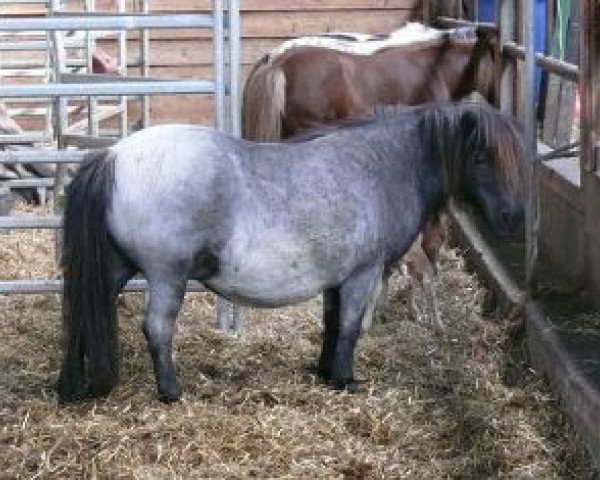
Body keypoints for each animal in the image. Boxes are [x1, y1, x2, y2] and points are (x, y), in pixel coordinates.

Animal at [57, 102, 524, 404]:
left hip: (115, 270)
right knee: (157, 329)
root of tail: (113, 156)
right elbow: (349, 328)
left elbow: (333, 325)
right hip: (166, 276)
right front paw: (344, 380)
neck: (379, 166)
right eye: (480, 156)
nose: (512, 218)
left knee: (82, 315)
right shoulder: (362, 275)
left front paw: (325, 372)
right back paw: (172, 393)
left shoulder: (339, 280)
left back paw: (72, 385)